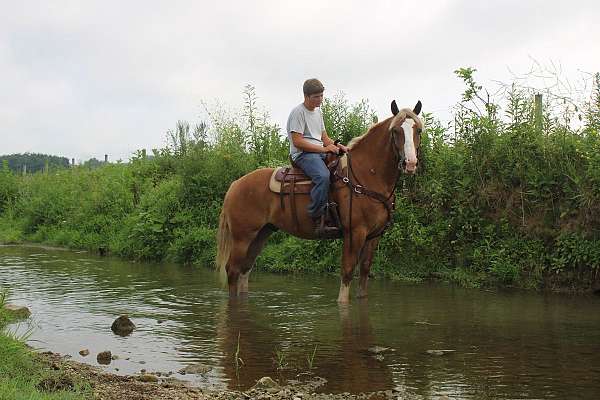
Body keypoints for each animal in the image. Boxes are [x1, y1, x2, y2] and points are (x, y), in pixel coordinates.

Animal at [216, 101, 422, 304]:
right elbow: (347, 273)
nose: (410, 163)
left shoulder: (374, 236)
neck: (366, 175)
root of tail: (235, 185)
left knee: (245, 270)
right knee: (233, 270)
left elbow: (364, 273)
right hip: (242, 237)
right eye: (395, 130)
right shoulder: (354, 233)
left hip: (261, 233)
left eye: (418, 130)